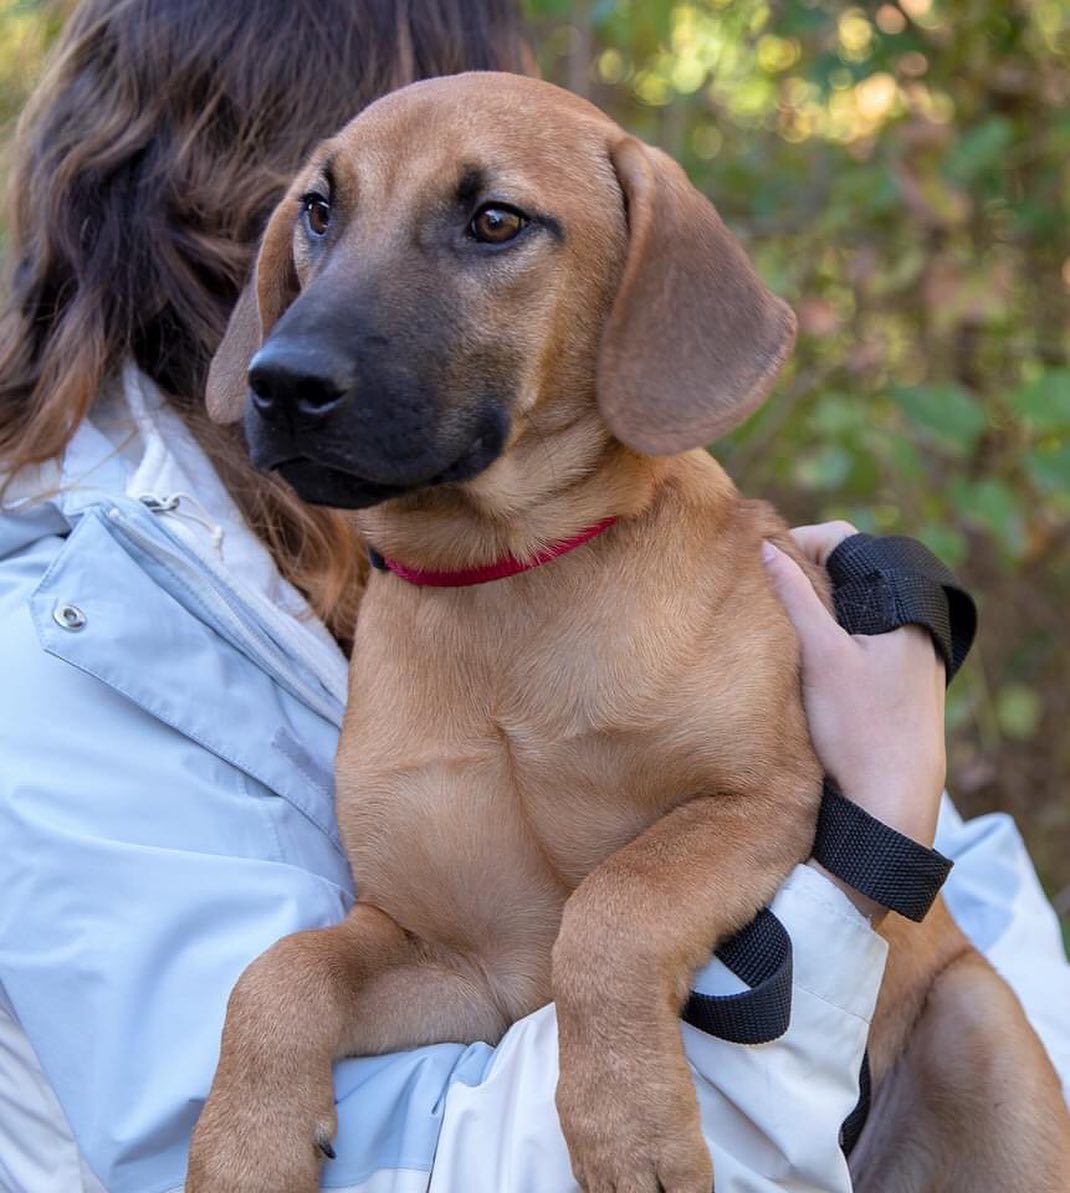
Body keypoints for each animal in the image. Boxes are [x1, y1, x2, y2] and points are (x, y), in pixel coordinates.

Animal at [186, 69, 1068, 1188]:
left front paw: (630, 1120)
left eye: (494, 220)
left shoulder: (759, 801)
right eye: (318, 210)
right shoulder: (460, 963)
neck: (508, 580)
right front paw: (243, 1142)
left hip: (978, 1023)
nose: (281, 381)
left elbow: (612, 905)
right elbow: (278, 968)